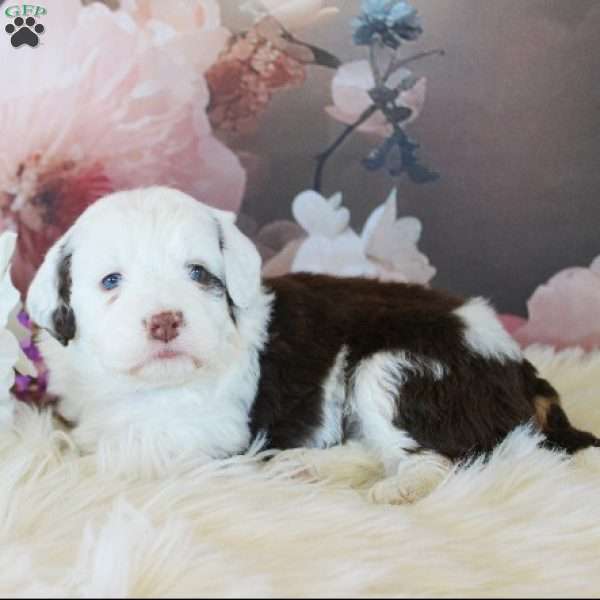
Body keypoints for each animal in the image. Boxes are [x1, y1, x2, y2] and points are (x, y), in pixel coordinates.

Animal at [27, 189, 596, 502]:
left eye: (198, 274)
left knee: (445, 459)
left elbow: (123, 453)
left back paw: (398, 488)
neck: (145, 387)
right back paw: (303, 465)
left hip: (396, 370)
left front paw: (64, 468)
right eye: (110, 281)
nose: (165, 321)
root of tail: (519, 366)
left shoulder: (207, 432)